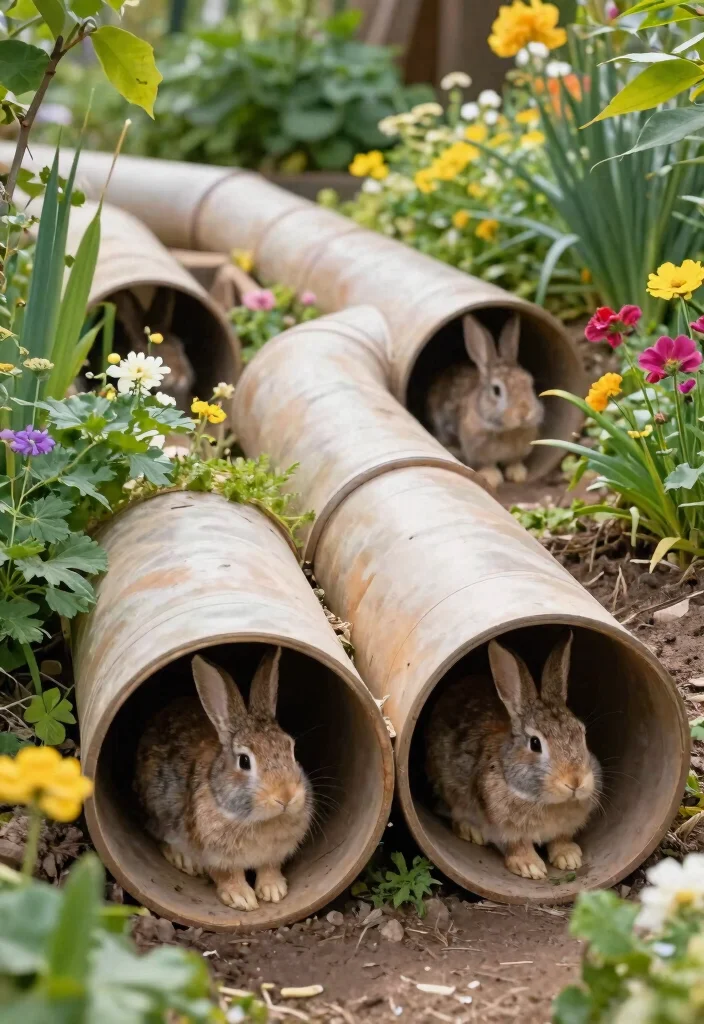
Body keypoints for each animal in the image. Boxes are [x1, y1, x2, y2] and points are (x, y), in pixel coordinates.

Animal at [134, 646, 313, 911]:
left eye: (291, 749)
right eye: (244, 761)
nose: (285, 797)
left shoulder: (274, 854)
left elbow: (269, 868)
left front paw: (273, 890)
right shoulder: (215, 855)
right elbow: (227, 875)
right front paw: (242, 898)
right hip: (157, 807)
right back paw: (184, 860)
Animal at [425, 632, 601, 881]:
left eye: (582, 734)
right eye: (535, 743)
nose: (575, 782)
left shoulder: (564, 828)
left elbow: (561, 839)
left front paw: (569, 858)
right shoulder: (505, 829)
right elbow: (518, 846)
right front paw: (530, 867)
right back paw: (470, 831)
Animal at [426, 313, 544, 490]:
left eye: (530, 383)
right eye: (496, 390)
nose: (524, 413)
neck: (508, 430)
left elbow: (514, 461)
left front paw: (518, 474)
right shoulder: (478, 451)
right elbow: (487, 465)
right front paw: (493, 478)